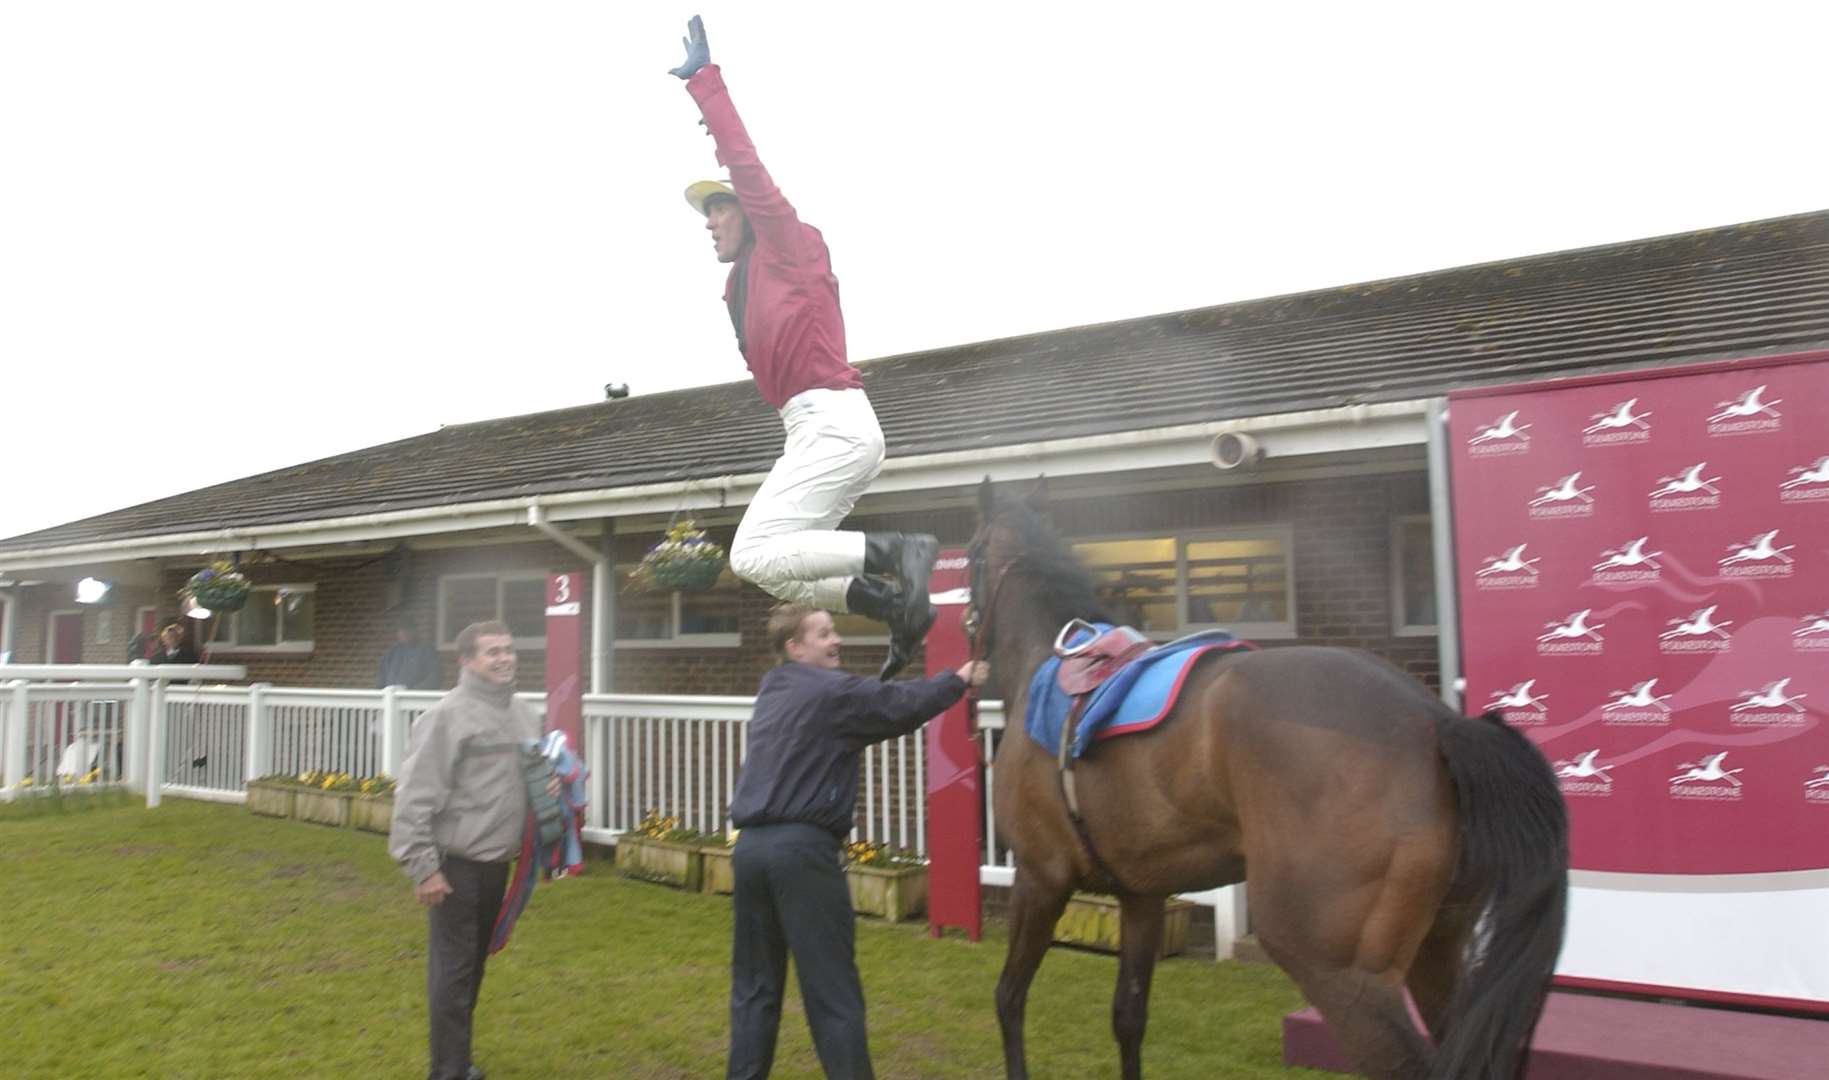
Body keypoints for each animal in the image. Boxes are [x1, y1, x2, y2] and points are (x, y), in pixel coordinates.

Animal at [965, 483, 1565, 1080]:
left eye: (968, 553)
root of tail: (1435, 722)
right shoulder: (1142, 895)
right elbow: (1128, 1017)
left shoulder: (1041, 878)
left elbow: (1008, 997)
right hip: (1437, 951)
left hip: (1338, 968)